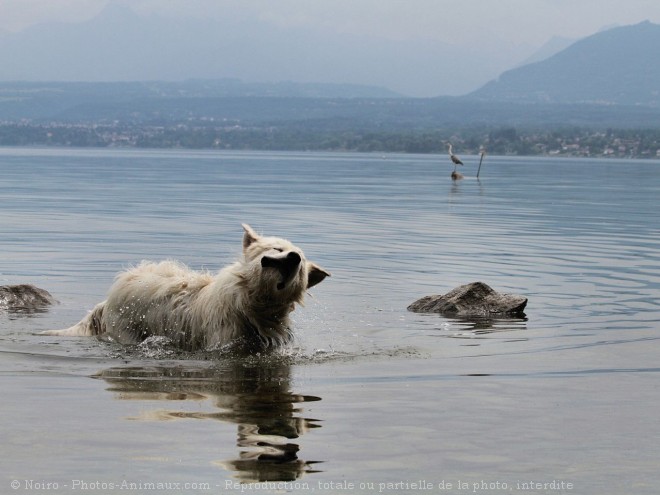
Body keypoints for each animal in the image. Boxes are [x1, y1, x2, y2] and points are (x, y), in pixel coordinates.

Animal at [42, 226, 328, 352]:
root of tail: (108, 298)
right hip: (127, 332)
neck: (251, 304)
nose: (294, 258)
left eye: (300, 267)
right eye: (277, 248)